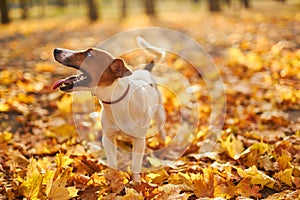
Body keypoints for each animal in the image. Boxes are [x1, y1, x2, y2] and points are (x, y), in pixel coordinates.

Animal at [53, 36, 166, 182]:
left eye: (89, 54)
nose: (56, 49)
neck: (116, 101)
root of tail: (145, 70)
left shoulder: (139, 140)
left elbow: (136, 164)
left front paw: (136, 183)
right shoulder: (107, 138)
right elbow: (112, 162)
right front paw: (112, 180)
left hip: (160, 114)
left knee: (161, 130)